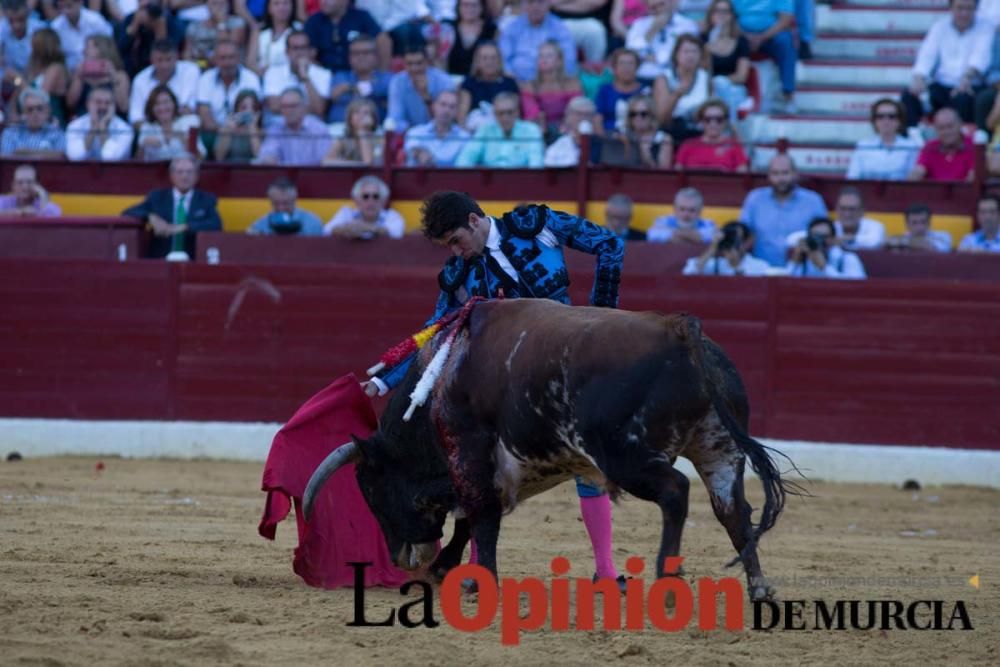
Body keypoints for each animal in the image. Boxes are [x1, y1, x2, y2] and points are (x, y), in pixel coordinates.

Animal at [302, 300, 796, 604]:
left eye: (371, 489)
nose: (403, 558)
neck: (440, 379)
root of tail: (679, 329)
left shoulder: (469, 451)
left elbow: (480, 517)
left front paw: (479, 580)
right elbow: (471, 520)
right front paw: (450, 569)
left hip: (627, 455)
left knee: (676, 491)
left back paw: (667, 580)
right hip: (719, 449)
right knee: (733, 510)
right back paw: (758, 587)